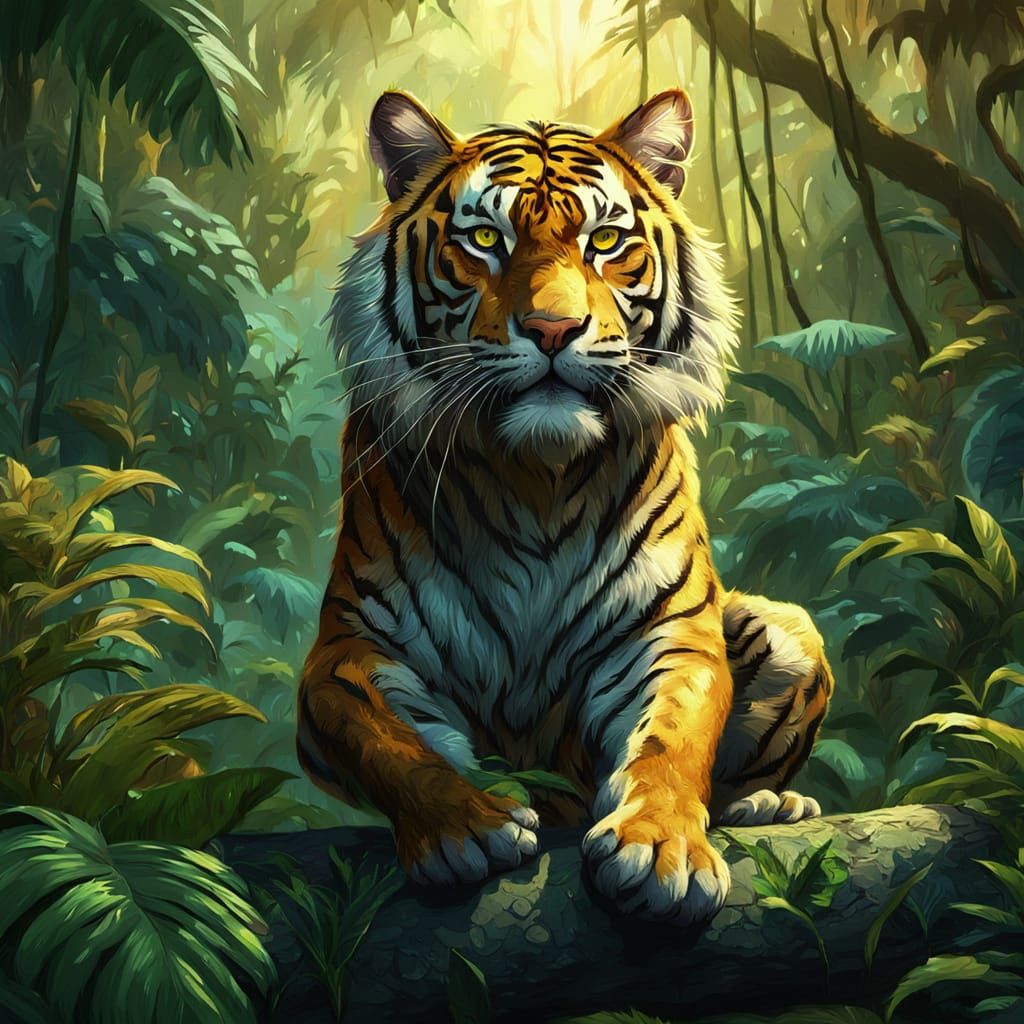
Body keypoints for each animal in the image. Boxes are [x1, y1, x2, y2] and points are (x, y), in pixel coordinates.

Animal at [297, 89, 834, 925]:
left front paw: (661, 848)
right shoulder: (348, 651)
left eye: (606, 241)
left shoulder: (667, 632)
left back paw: (769, 805)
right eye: (485, 238)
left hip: (790, 628)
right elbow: (389, 742)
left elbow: (672, 740)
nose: (554, 329)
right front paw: (468, 827)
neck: (535, 478)